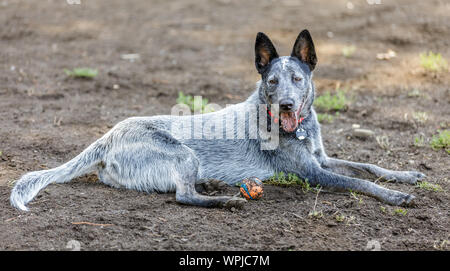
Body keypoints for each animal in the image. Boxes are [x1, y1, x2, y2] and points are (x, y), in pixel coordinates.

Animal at [10, 30, 426, 212]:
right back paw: (225, 200)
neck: (297, 131)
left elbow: (368, 166)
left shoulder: (321, 159)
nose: (287, 105)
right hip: (183, 154)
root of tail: (107, 137)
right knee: (183, 196)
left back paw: (215, 186)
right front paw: (395, 196)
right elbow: (360, 181)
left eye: (297, 79)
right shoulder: (312, 172)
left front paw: (406, 176)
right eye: (271, 82)